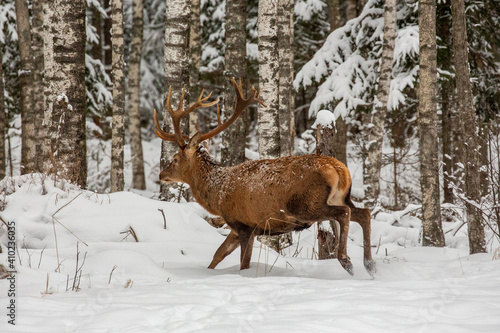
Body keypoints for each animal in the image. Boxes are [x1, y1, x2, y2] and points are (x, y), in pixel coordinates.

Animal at [152, 78, 376, 274]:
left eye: (174, 159)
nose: (161, 175)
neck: (218, 194)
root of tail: (339, 169)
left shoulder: (244, 225)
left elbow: (244, 263)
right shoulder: (239, 227)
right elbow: (218, 255)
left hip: (306, 204)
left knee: (344, 213)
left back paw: (347, 261)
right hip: (340, 196)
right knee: (363, 213)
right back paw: (369, 265)